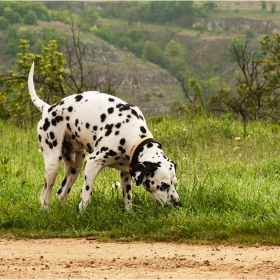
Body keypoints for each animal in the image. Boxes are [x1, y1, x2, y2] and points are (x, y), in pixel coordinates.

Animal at [27, 61, 180, 210]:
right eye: (164, 185)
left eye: (174, 183)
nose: (178, 203)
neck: (131, 134)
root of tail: (48, 108)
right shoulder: (92, 163)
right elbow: (85, 200)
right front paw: (83, 214)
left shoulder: (125, 173)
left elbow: (128, 200)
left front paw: (129, 213)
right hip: (53, 163)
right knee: (45, 196)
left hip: (75, 167)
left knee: (61, 194)